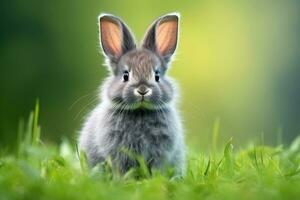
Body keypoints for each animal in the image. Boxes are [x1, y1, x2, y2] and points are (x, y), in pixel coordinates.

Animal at [78, 12, 185, 175]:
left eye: (157, 75)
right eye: (125, 75)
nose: (142, 90)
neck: (140, 111)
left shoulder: (161, 153)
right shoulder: (117, 153)